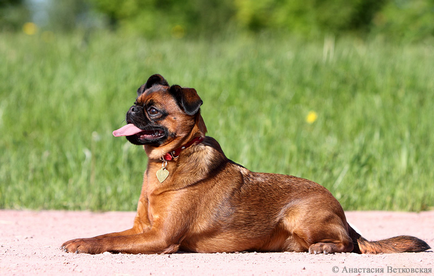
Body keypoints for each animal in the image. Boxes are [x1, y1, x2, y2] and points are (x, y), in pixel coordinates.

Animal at [62, 74, 430, 254]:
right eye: (136, 103)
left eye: (152, 110)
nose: (131, 111)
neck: (171, 159)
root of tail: (342, 213)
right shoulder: (141, 230)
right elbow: (108, 232)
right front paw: (84, 237)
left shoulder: (159, 237)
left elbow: (110, 239)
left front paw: (82, 244)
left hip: (300, 215)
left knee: (350, 244)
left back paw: (326, 247)